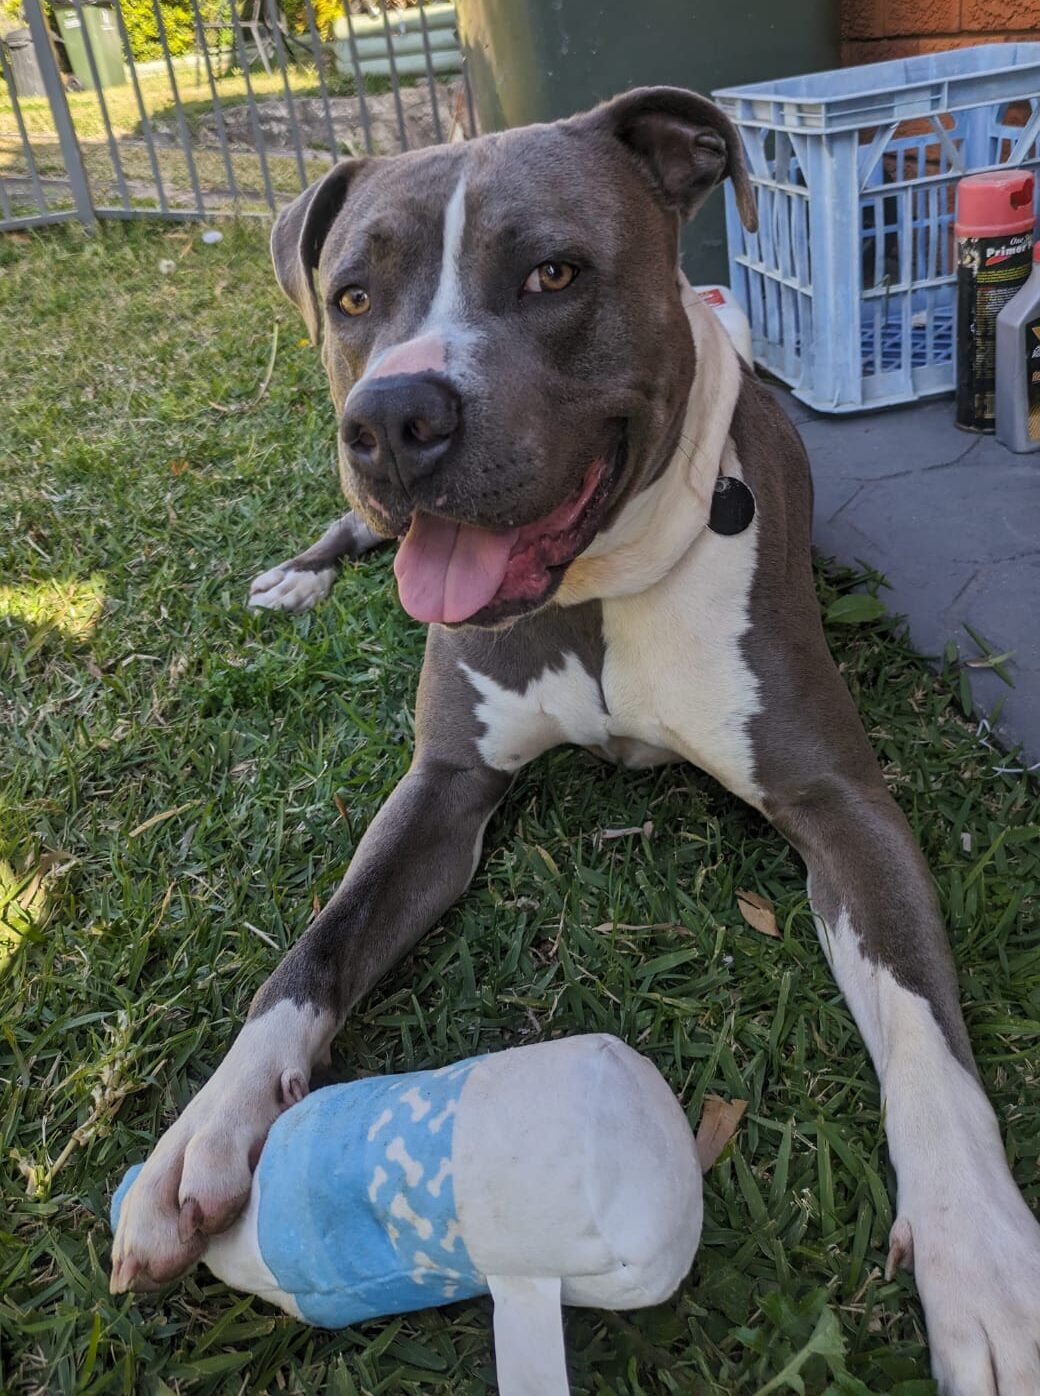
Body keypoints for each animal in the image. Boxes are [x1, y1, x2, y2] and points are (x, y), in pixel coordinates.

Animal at [110, 88, 1040, 1392]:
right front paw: (202, 1131)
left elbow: (922, 1031)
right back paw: (296, 574)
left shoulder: (839, 799)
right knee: (347, 530)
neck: (591, 589)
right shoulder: (442, 786)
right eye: (351, 297)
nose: (390, 415)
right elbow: (314, 949)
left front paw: (982, 1264)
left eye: (552, 272)